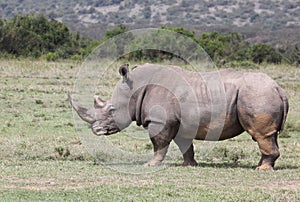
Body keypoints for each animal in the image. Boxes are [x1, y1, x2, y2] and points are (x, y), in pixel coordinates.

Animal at [69, 63, 290, 170]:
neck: (135, 87)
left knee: (261, 134)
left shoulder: (161, 121)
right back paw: (260, 166)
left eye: (111, 110)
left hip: (257, 94)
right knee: (266, 135)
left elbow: (158, 144)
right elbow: (185, 145)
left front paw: (150, 165)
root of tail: (280, 89)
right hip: (260, 94)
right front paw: (189, 165)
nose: (96, 130)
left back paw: (262, 170)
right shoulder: (178, 122)